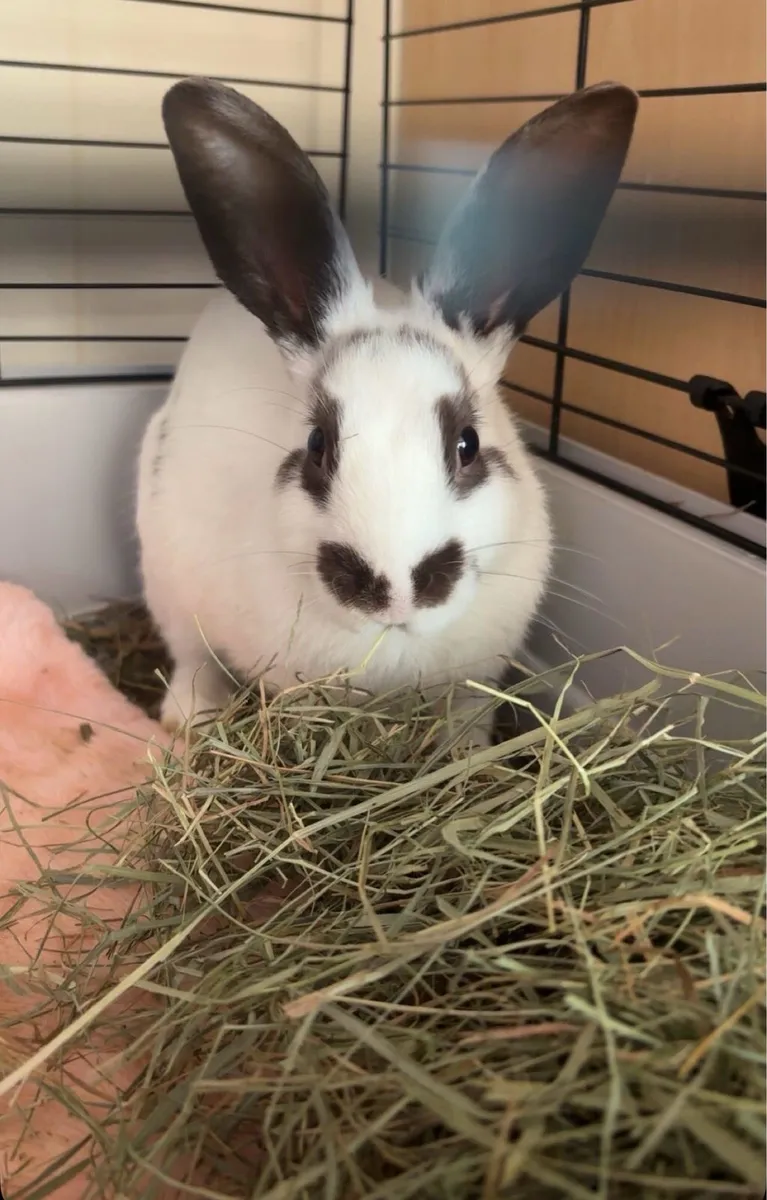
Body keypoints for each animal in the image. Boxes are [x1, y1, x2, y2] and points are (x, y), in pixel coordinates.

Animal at [136, 77, 637, 746]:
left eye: (467, 443)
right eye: (318, 445)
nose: (395, 590)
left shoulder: (473, 683)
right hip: (166, 583)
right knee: (191, 662)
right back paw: (190, 721)